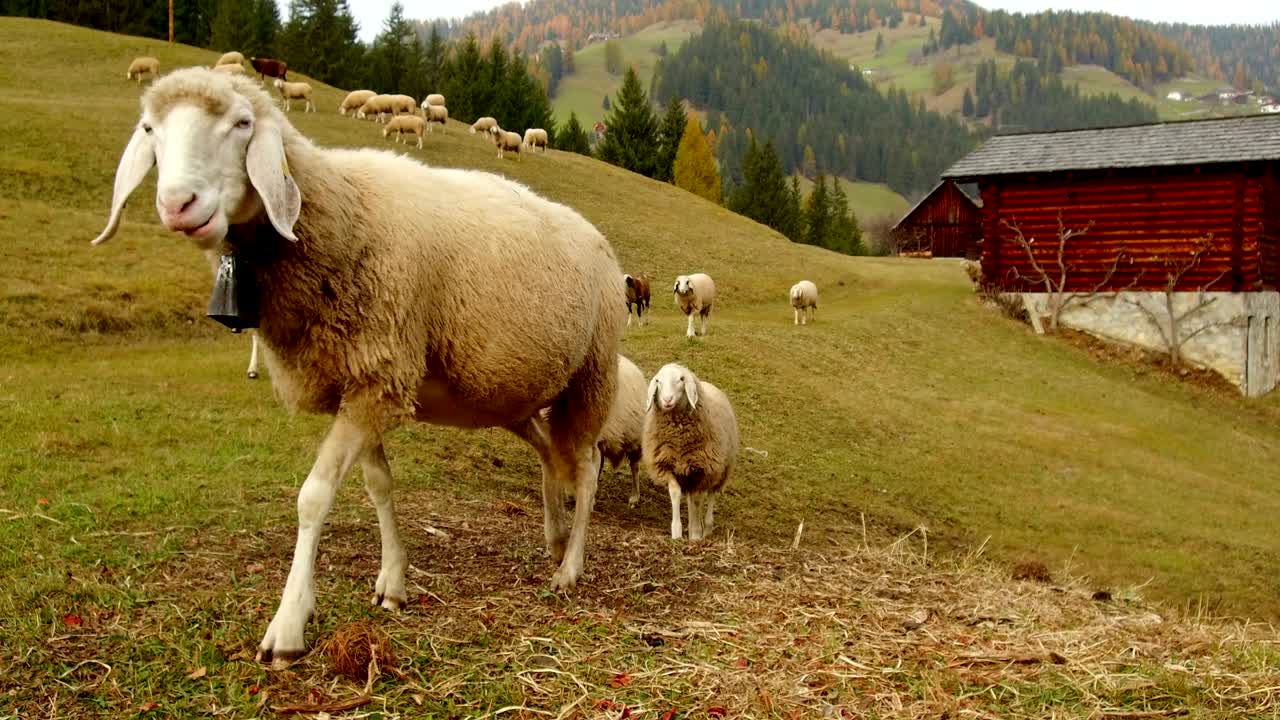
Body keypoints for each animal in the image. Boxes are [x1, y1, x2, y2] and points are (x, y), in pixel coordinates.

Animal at [90, 68, 625, 666]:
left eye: (242, 123)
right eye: (150, 128)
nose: (179, 204)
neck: (339, 215)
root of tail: (596, 236)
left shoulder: (377, 375)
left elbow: (314, 496)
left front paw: (289, 623)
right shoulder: (362, 380)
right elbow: (378, 484)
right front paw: (393, 580)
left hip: (591, 372)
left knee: (586, 464)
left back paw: (570, 566)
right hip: (509, 391)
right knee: (548, 451)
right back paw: (554, 534)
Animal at [642, 363, 739, 541]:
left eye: (681, 379)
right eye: (658, 380)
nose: (667, 400)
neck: (678, 439)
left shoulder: (701, 470)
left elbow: (697, 501)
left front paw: (695, 534)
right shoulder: (667, 466)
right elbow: (676, 494)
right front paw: (677, 532)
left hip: (721, 470)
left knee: (711, 494)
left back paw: (706, 527)